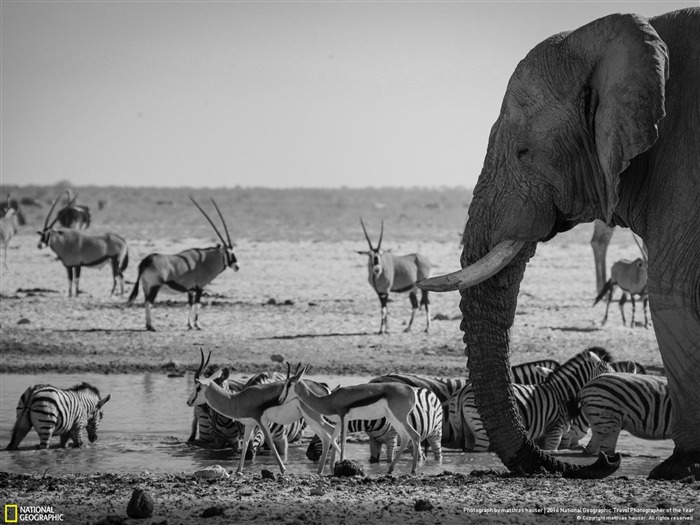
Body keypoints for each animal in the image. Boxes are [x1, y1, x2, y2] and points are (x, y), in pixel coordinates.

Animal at [187, 348, 338, 474]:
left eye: (198, 387)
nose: (188, 402)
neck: (238, 399)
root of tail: (325, 390)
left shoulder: (261, 422)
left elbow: (270, 444)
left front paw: (283, 470)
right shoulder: (249, 424)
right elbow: (245, 445)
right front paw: (238, 471)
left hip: (313, 418)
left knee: (328, 434)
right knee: (327, 437)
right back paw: (323, 470)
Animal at [278, 362, 422, 472]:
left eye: (289, 384)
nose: (280, 400)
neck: (329, 400)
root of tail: (410, 390)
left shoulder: (343, 418)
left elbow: (342, 443)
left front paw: (342, 466)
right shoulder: (339, 422)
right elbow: (333, 440)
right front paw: (332, 468)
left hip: (400, 418)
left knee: (415, 435)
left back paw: (413, 470)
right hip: (393, 418)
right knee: (406, 437)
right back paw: (391, 469)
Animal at [306, 384, 442, 462]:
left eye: (327, 421)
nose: (308, 454)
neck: (371, 423)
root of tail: (427, 390)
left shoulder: (392, 439)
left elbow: (389, 459)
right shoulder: (373, 440)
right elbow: (373, 460)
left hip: (435, 434)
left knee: (437, 454)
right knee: (420, 453)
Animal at [454, 348, 612, 450]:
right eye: (607, 371)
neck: (562, 393)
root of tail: (463, 390)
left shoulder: (544, 435)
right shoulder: (555, 431)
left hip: (469, 430)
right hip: (482, 429)